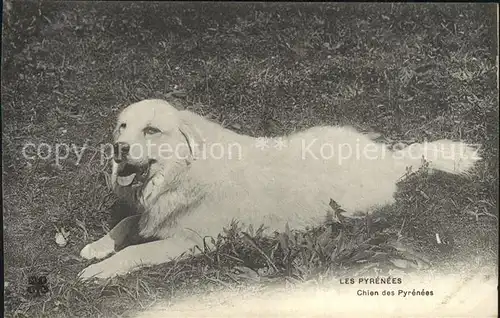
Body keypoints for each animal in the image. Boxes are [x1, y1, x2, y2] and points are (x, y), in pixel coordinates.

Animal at [78, 99, 480, 278]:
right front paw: (98, 247)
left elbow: (136, 251)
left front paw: (103, 268)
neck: (184, 172)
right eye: (122, 127)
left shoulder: (191, 242)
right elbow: (127, 223)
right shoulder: (151, 215)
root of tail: (390, 161)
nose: (118, 149)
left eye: (151, 131)